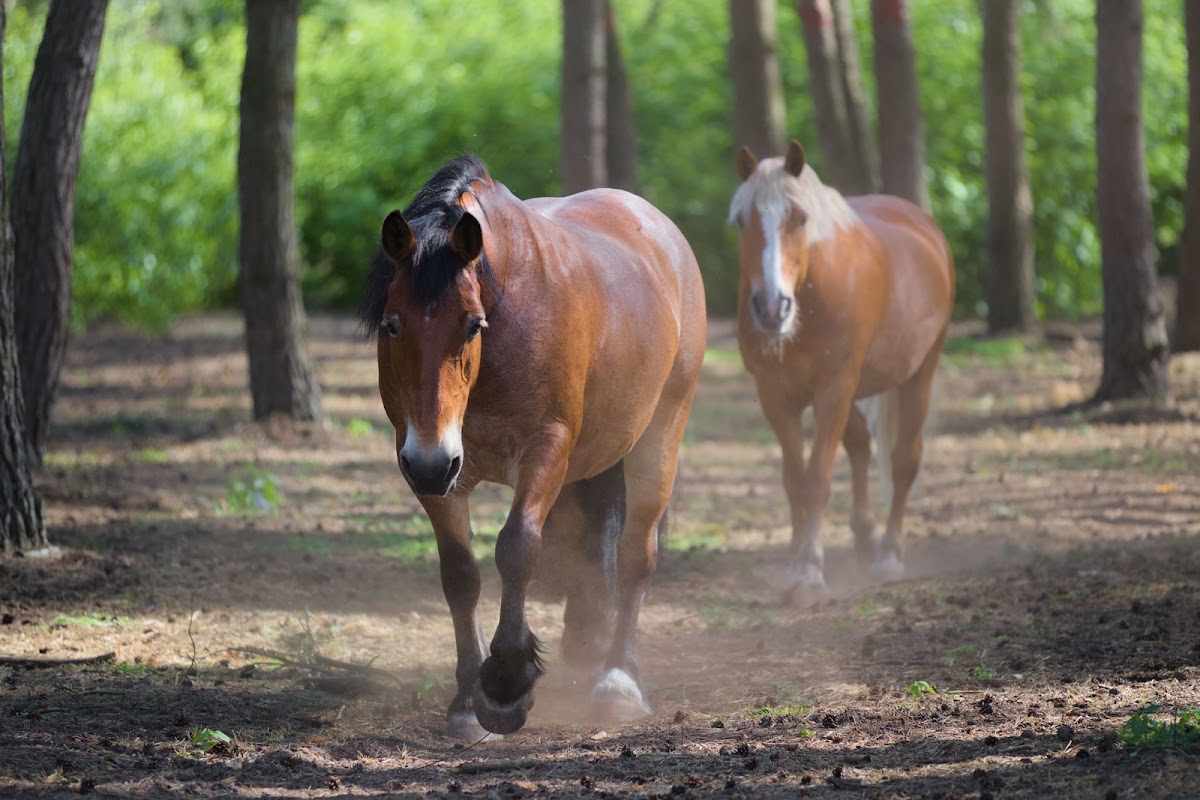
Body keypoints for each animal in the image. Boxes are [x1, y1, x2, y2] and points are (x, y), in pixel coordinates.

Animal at [362, 155, 706, 738]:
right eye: (391, 325)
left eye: (472, 324)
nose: (432, 462)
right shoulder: (432, 467)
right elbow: (460, 574)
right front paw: (465, 701)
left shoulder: (545, 450)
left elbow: (517, 548)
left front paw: (505, 685)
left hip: (659, 436)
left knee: (636, 555)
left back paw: (618, 682)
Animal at [728, 140, 954, 599]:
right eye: (743, 220)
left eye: (800, 218)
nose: (771, 308)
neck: (812, 293)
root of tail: (926, 229)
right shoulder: (776, 397)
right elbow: (794, 478)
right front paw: (795, 559)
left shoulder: (833, 390)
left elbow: (817, 477)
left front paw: (809, 569)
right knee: (861, 446)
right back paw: (865, 537)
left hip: (918, 375)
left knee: (904, 460)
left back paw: (888, 555)